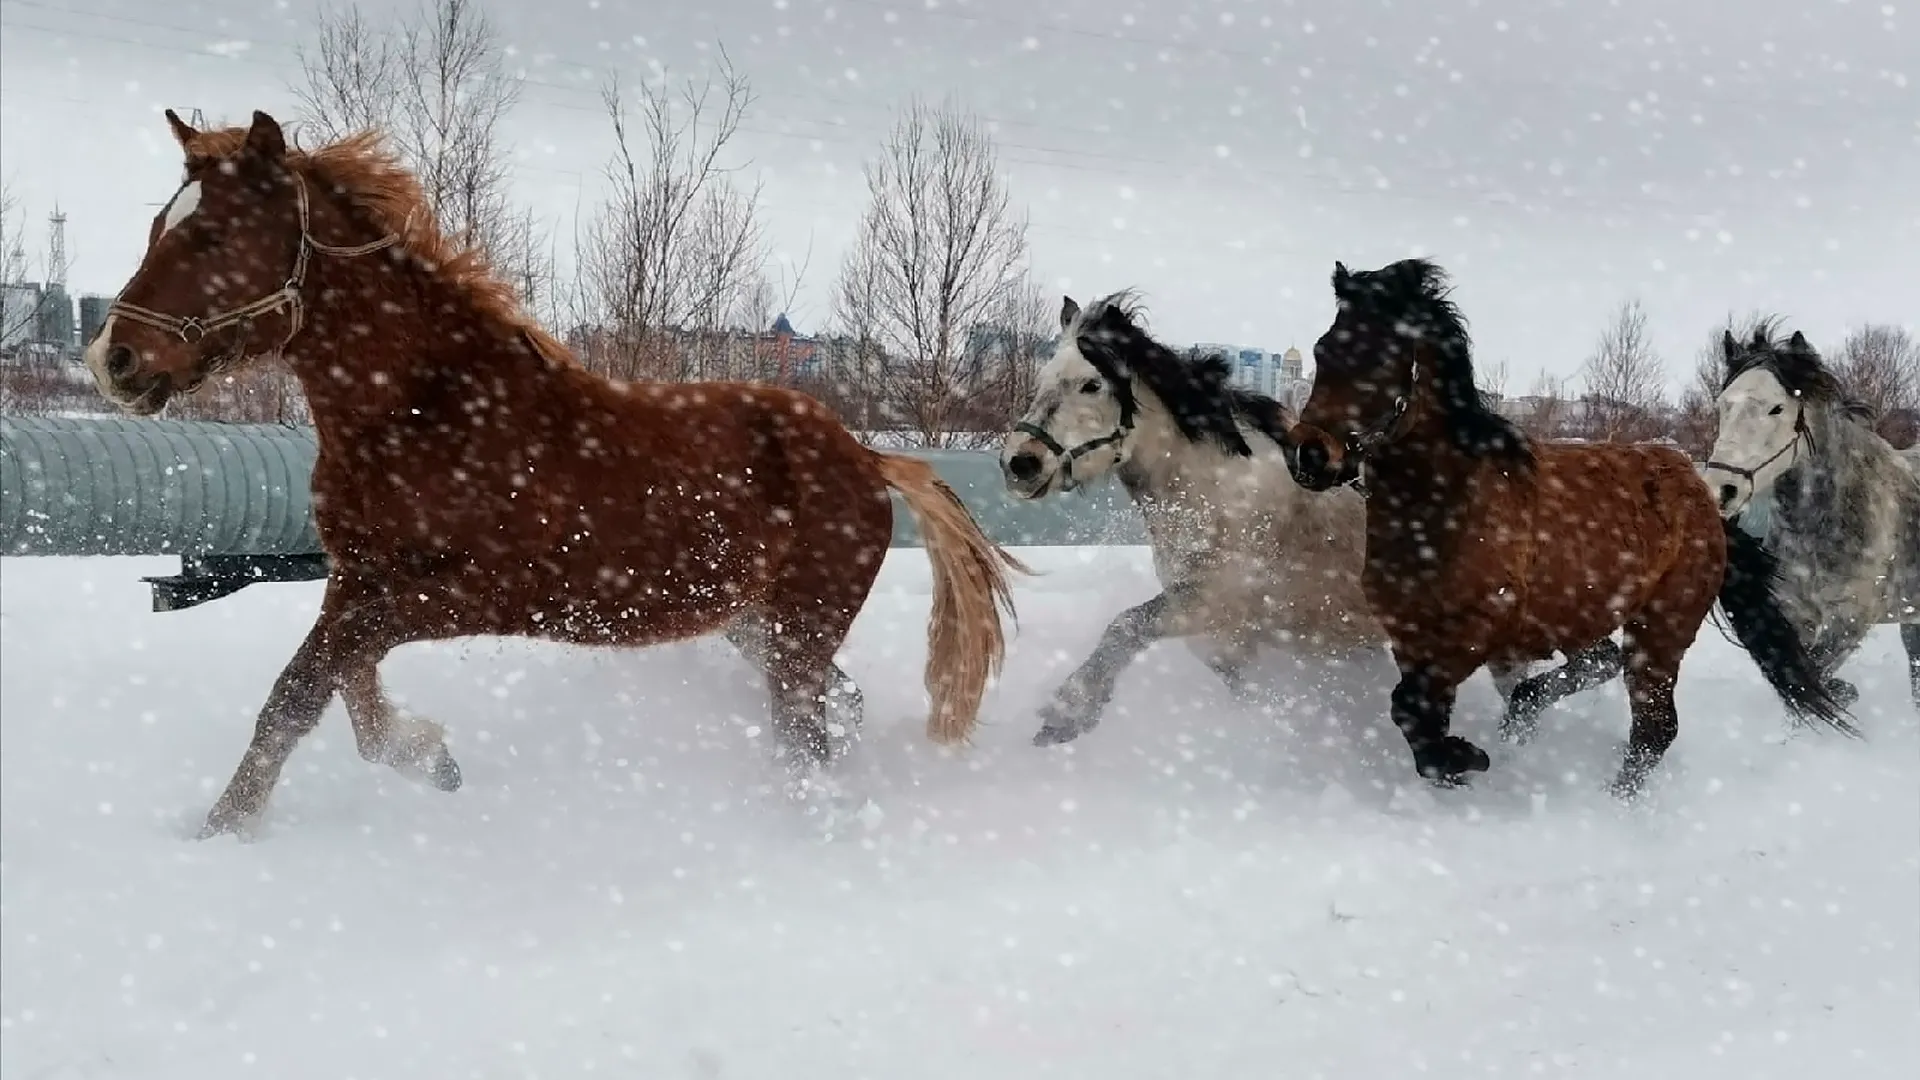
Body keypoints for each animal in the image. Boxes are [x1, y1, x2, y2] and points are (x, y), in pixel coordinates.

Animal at [84, 109, 1029, 834]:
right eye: (158, 226)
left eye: (212, 235)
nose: (114, 361)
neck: (427, 412)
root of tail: (866, 455)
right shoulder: (355, 578)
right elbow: (341, 686)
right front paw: (430, 758)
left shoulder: (453, 594)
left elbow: (299, 692)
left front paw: (226, 829)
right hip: (753, 624)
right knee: (840, 708)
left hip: (796, 631)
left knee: (806, 733)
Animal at [990, 292, 1589, 749]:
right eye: (1044, 376)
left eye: (1091, 384)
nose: (1020, 462)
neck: (1218, 490)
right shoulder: (1239, 635)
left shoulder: (1212, 601)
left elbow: (1126, 626)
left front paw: (1067, 714)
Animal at [1282, 251, 1850, 791]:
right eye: (1323, 350)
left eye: (1383, 357)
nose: (1310, 456)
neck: (1446, 504)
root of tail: (1706, 496)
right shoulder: (1410, 635)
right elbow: (1420, 716)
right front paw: (1459, 763)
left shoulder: (1472, 632)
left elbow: (1412, 708)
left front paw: (1470, 758)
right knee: (1599, 665)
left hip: (1660, 631)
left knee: (1653, 728)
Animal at [1704, 322, 1912, 711]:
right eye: (1723, 405)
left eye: (1777, 408)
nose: (1721, 489)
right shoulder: (1797, 614)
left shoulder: (1848, 621)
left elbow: (1814, 675)